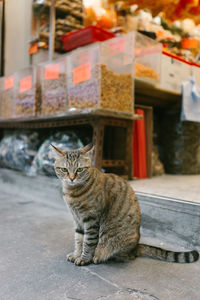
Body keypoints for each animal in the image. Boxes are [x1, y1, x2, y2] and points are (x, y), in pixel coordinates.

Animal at [51, 144, 198, 266]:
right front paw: (76, 254)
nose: (71, 178)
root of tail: (136, 246)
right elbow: (78, 239)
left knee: (126, 256)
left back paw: (100, 257)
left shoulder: (91, 220)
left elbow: (88, 242)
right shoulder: (77, 219)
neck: (72, 192)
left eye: (80, 169)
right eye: (64, 169)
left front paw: (84, 258)